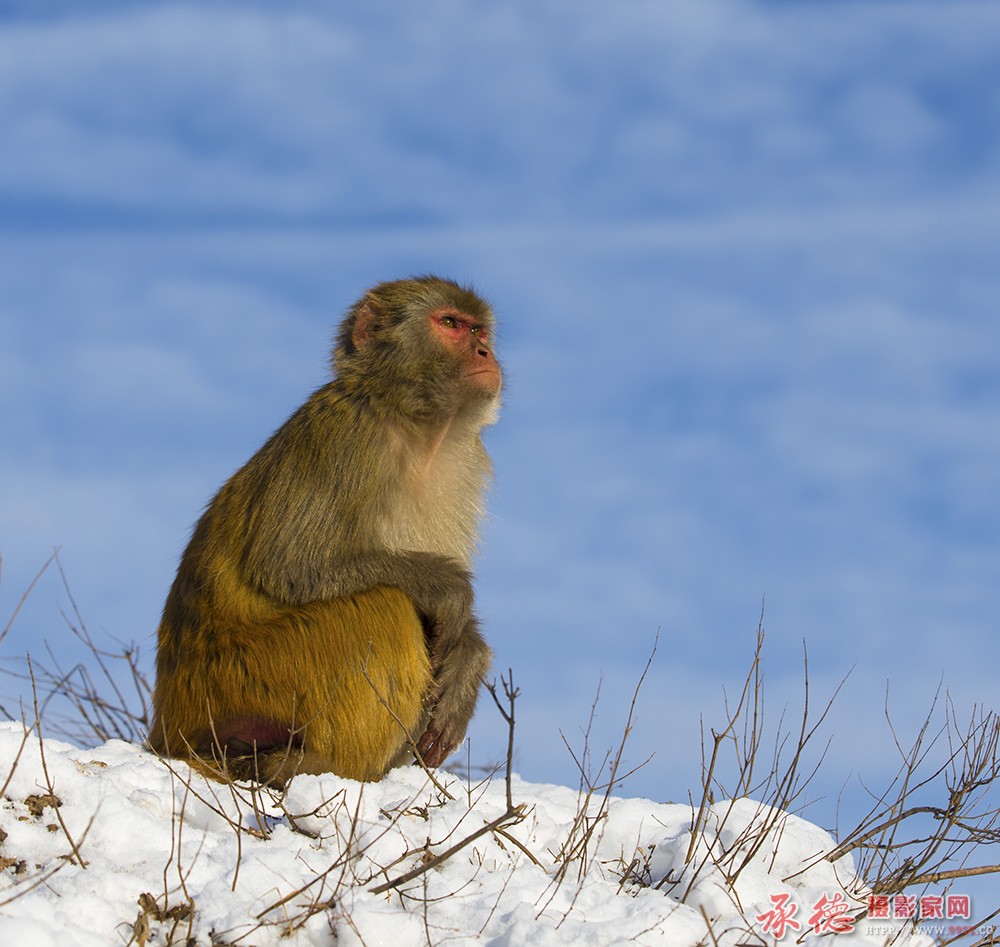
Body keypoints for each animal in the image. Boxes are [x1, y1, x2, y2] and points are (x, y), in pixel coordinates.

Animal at [147, 274, 500, 784]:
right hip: (244, 677)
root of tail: (166, 729)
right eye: (451, 324)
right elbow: (290, 565)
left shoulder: (462, 465)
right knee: (384, 605)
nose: (485, 353)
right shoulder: (348, 435)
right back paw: (328, 767)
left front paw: (469, 656)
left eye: (480, 330)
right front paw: (449, 590)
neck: (416, 426)